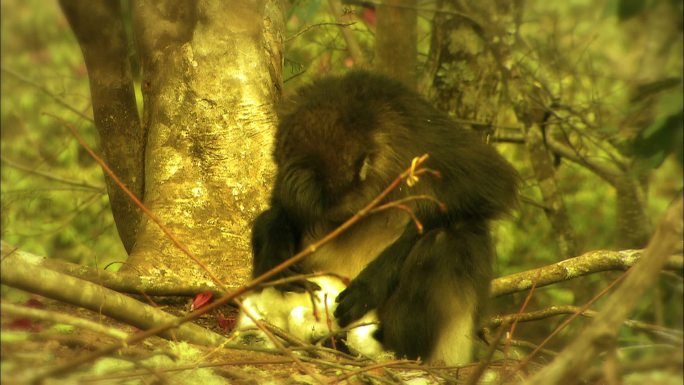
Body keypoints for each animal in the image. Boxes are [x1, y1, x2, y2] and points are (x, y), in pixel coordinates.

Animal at [251, 71, 520, 364]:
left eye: (345, 216)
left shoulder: (416, 123)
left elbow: (494, 184)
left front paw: (372, 284)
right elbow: (280, 207)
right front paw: (276, 255)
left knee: (449, 237)